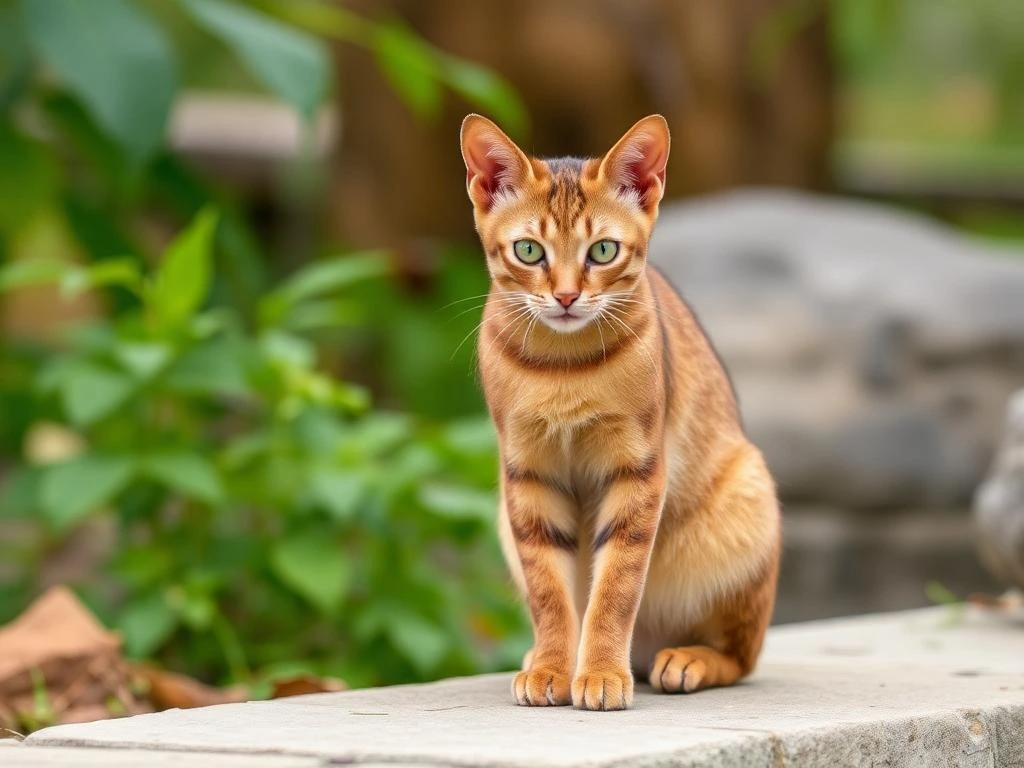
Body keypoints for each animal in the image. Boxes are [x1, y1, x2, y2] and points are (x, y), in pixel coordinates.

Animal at [460, 111, 778, 712]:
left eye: (603, 251)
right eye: (529, 251)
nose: (565, 297)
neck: (563, 369)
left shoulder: (637, 470)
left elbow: (615, 588)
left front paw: (601, 672)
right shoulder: (528, 474)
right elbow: (549, 593)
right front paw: (554, 666)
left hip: (749, 503)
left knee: (742, 655)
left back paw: (685, 660)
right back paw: (544, 658)